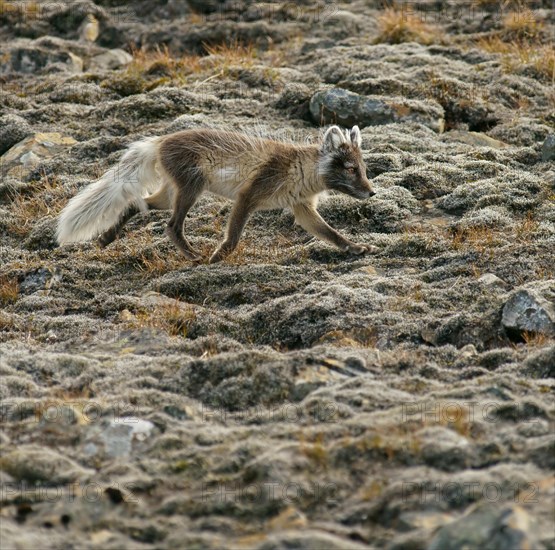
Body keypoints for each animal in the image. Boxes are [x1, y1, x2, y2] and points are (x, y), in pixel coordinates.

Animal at [56, 126, 376, 264]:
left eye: (363, 168)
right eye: (350, 169)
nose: (372, 192)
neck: (302, 170)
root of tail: (160, 140)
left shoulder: (302, 208)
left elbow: (331, 233)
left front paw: (355, 247)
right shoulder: (248, 196)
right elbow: (233, 237)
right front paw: (217, 257)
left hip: (169, 194)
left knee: (138, 205)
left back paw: (107, 238)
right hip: (192, 188)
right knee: (171, 226)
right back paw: (194, 256)